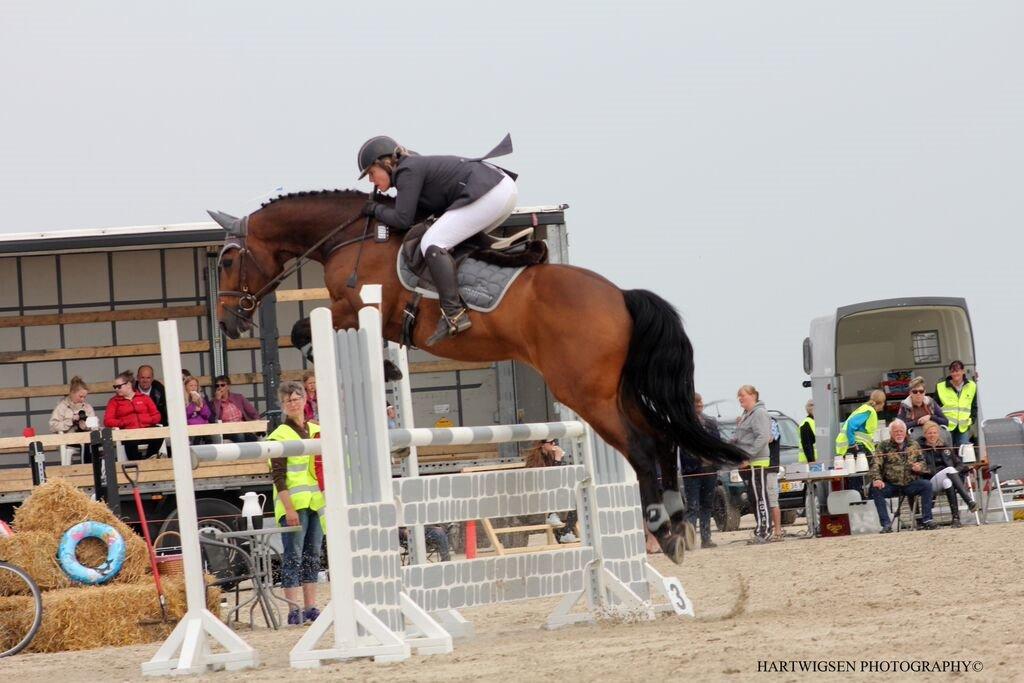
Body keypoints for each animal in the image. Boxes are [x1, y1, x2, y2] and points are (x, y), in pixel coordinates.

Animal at [214, 189, 745, 565]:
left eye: (227, 259)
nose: (227, 324)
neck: (355, 239)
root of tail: (620, 296)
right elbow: (307, 327)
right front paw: (388, 366)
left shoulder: (356, 309)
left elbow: (304, 327)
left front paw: (383, 365)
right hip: (618, 391)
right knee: (663, 439)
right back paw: (677, 523)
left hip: (586, 394)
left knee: (640, 446)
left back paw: (662, 529)